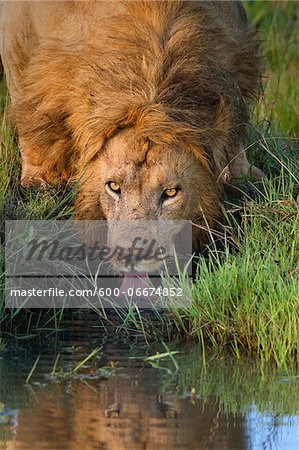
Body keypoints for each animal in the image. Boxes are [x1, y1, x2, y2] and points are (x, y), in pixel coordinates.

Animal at [0, 0, 262, 270]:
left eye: (170, 192)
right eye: (113, 186)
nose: (132, 256)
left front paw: (245, 178)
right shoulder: (17, 36)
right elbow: (32, 122)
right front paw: (39, 185)